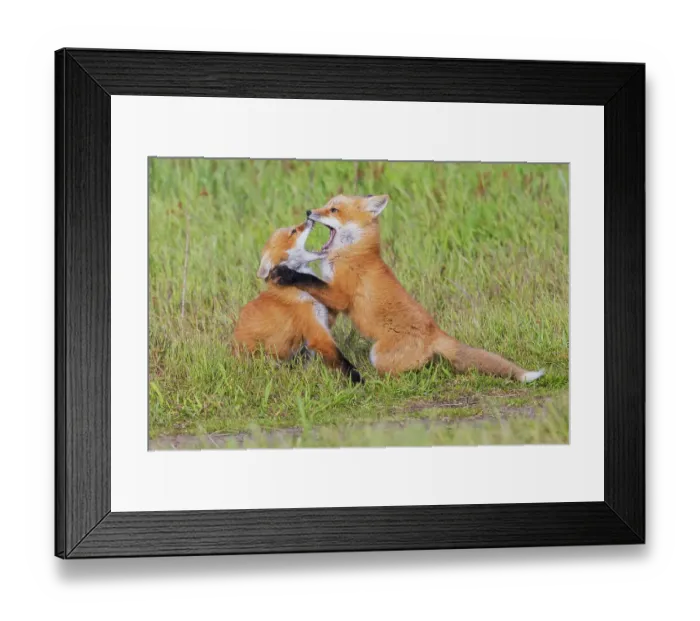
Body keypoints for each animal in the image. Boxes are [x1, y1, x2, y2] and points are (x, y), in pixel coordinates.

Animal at [232, 220, 363, 384]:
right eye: (294, 231)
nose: (309, 219)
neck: (299, 291)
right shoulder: (316, 332)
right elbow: (341, 360)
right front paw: (358, 380)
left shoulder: (323, 316)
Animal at [269, 194, 545, 383]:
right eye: (326, 204)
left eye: (333, 209)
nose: (309, 211)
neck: (352, 254)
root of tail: (435, 331)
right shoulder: (334, 301)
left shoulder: (341, 296)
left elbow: (310, 281)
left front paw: (286, 274)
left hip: (378, 354)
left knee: (413, 368)